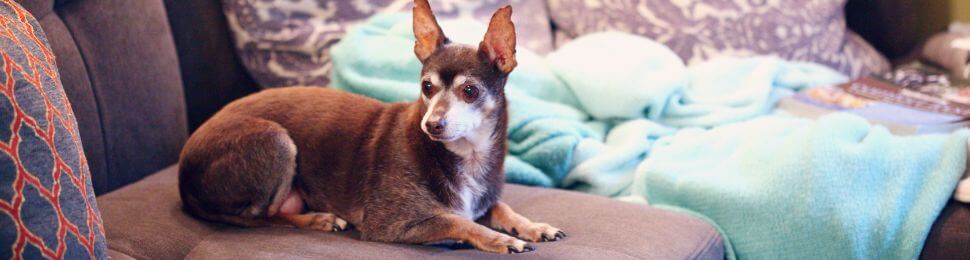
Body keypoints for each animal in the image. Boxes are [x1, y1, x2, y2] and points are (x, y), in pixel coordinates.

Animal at [178, 0, 564, 254]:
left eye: (470, 91)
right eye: (426, 87)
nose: (432, 124)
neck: (467, 156)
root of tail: (184, 177)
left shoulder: (485, 198)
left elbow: (500, 207)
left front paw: (533, 226)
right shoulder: (390, 223)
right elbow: (458, 220)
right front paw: (501, 239)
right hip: (276, 141)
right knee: (264, 216)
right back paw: (320, 219)